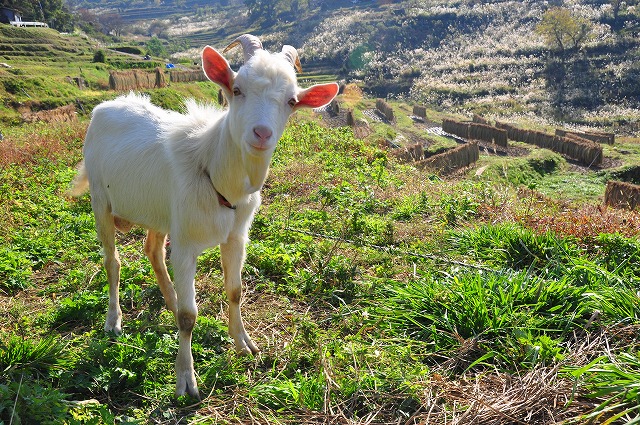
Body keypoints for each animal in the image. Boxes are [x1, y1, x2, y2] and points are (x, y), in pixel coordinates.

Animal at [69, 34, 340, 398]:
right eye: (236, 89)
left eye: (292, 100)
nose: (261, 134)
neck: (213, 169)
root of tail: (105, 106)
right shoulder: (186, 245)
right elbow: (188, 316)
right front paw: (186, 378)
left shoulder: (236, 236)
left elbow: (235, 291)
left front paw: (244, 343)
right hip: (101, 199)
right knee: (112, 261)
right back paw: (114, 320)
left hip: (160, 210)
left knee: (152, 250)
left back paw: (169, 299)